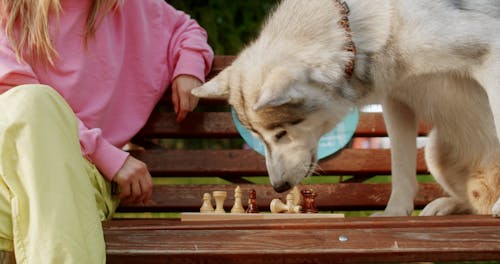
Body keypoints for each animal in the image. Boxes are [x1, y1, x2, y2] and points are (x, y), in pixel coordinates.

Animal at [192, 0, 500, 217]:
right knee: (471, 201)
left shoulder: (492, 58)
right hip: (433, 151)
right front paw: (394, 213)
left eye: (280, 134)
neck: (350, 31)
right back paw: (446, 205)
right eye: (258, 138)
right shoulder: (395, 100)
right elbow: (400, 169)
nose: (278, 187)